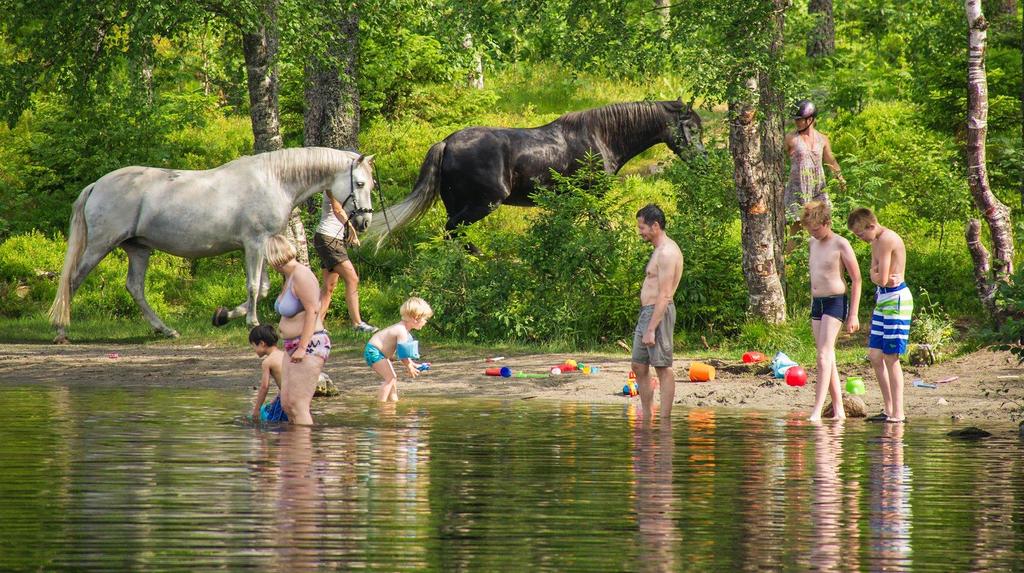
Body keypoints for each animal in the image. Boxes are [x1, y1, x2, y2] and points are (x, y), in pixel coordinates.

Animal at [47, 148, 376, 343]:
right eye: (359, 184)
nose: (364, 221)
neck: (274, 180)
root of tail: (96, 185)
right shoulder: (255, 243)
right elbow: (254, 287)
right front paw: (251, 322)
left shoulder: (261, 245)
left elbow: (263, 287)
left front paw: (224, 316)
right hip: (100, 245)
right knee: (73, 280)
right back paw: (61, 331)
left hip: (138, 248)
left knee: (135, 287)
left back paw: (165, 330)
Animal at [366, 99, 704, 242]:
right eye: (691, 129)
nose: (702, 161)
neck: (601, 136)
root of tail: (446, 143)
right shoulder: (592, 196)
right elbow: (603, 227)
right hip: (482, 203)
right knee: (452, 232)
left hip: (457, 204)